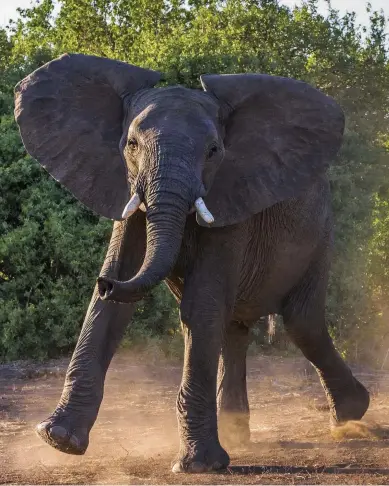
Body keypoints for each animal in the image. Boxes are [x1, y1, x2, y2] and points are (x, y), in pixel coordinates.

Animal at [13, 54, 368, 474]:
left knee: (303, 322)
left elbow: (201, 307)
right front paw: (59, 439)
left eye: (214, 150)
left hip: (320, 235)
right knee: (234, 327)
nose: (105, 282)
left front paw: (198, 465)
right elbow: (111, 306)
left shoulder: (232, 193)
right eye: (131, 144)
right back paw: (236, 434)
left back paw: (352, 414)